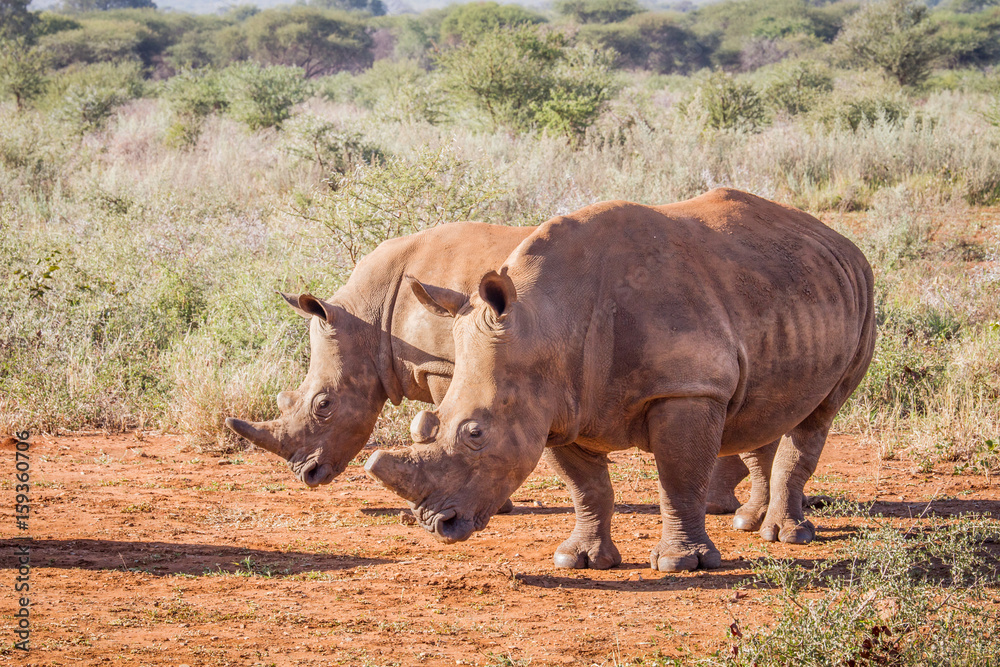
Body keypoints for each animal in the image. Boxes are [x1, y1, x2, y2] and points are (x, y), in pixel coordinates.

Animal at [225, 220, 755, 521]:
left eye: (324, 404)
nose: (305, 475)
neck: (367, 317)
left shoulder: (445, 365)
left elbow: (444, 422)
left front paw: (489, 507)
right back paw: (724, 506)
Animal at [365, 189, 875, 572]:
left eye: (475, 433)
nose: (437, 523)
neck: (549, 322)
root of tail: (843, 241)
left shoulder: (687, 387)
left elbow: (679, 478)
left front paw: (680, 565)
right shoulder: (558, 405)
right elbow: (587, 487)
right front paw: (580, 560)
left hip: (863, 292)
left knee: (818, 414)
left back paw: (787, 536)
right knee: (766, 408)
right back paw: (749, 524)